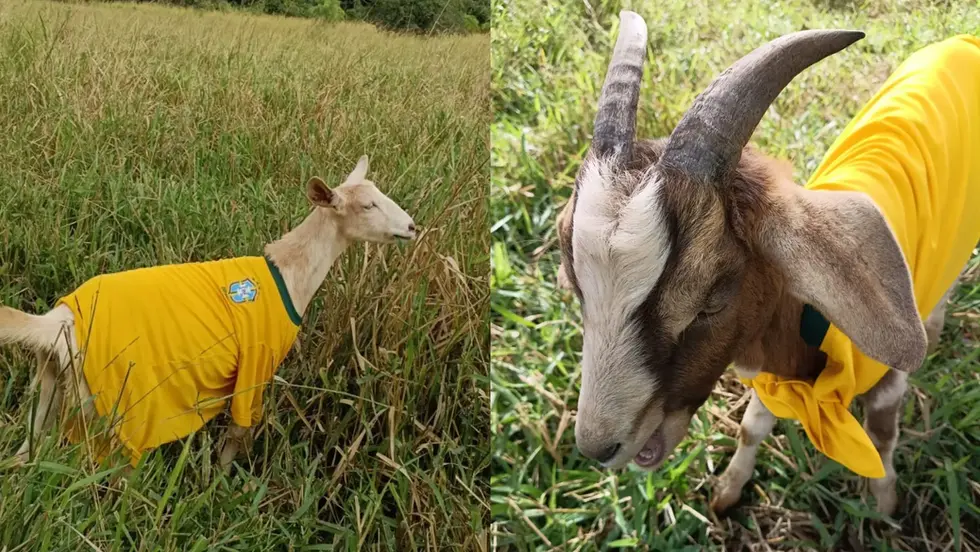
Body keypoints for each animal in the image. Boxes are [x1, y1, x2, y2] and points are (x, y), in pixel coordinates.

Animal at [0, 155, 416, 473]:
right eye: (368, 206)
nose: (411, 227)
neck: (287, 273)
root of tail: (61, 322)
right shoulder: (255, 365)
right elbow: (237, 433)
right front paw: (219, 482)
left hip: (50, 386)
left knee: (27, 452)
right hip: (111, 408)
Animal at [557, 11, 980, 516]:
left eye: (709, 303)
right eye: (578, 288)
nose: (599, 447)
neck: (810, 321)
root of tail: (962, 43)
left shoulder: (888, 382)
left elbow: (881, 440)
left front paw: (884, 507)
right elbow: (753, 426)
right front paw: (728, 490)